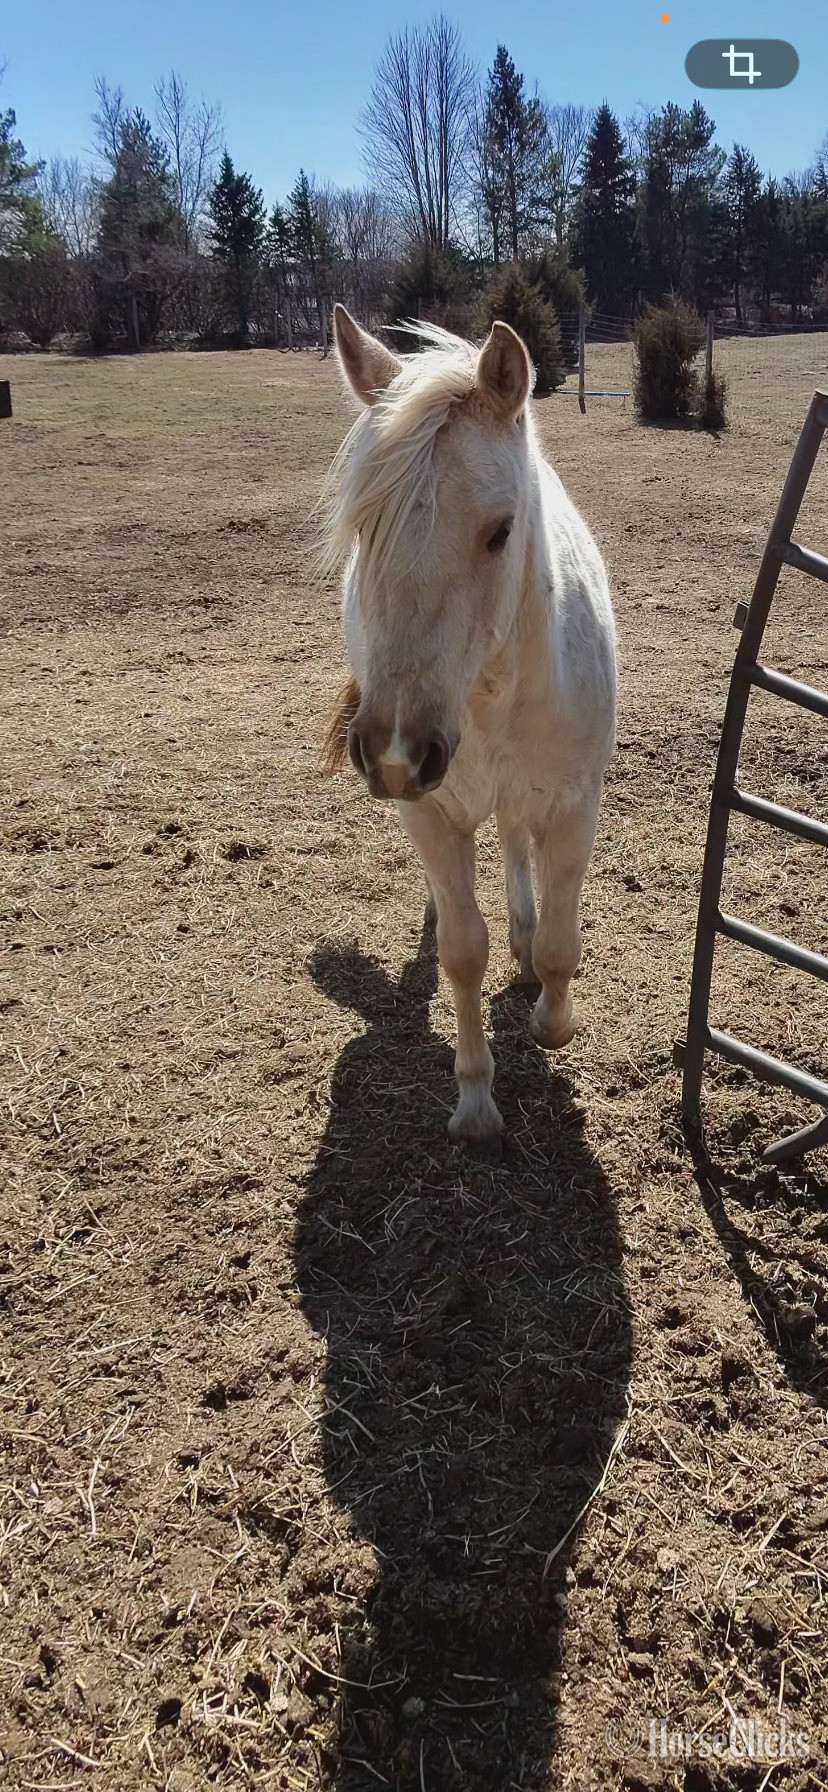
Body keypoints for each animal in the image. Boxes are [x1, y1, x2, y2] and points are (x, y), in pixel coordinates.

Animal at [322, 304, 616, 1151]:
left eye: (499, 530)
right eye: (364, 528)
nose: (394, 752)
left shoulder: (575, 805)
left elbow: (559, 943)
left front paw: (550, 1019)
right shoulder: (429, 811)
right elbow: (461, 951)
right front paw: (477, 1100)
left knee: (517, 843)